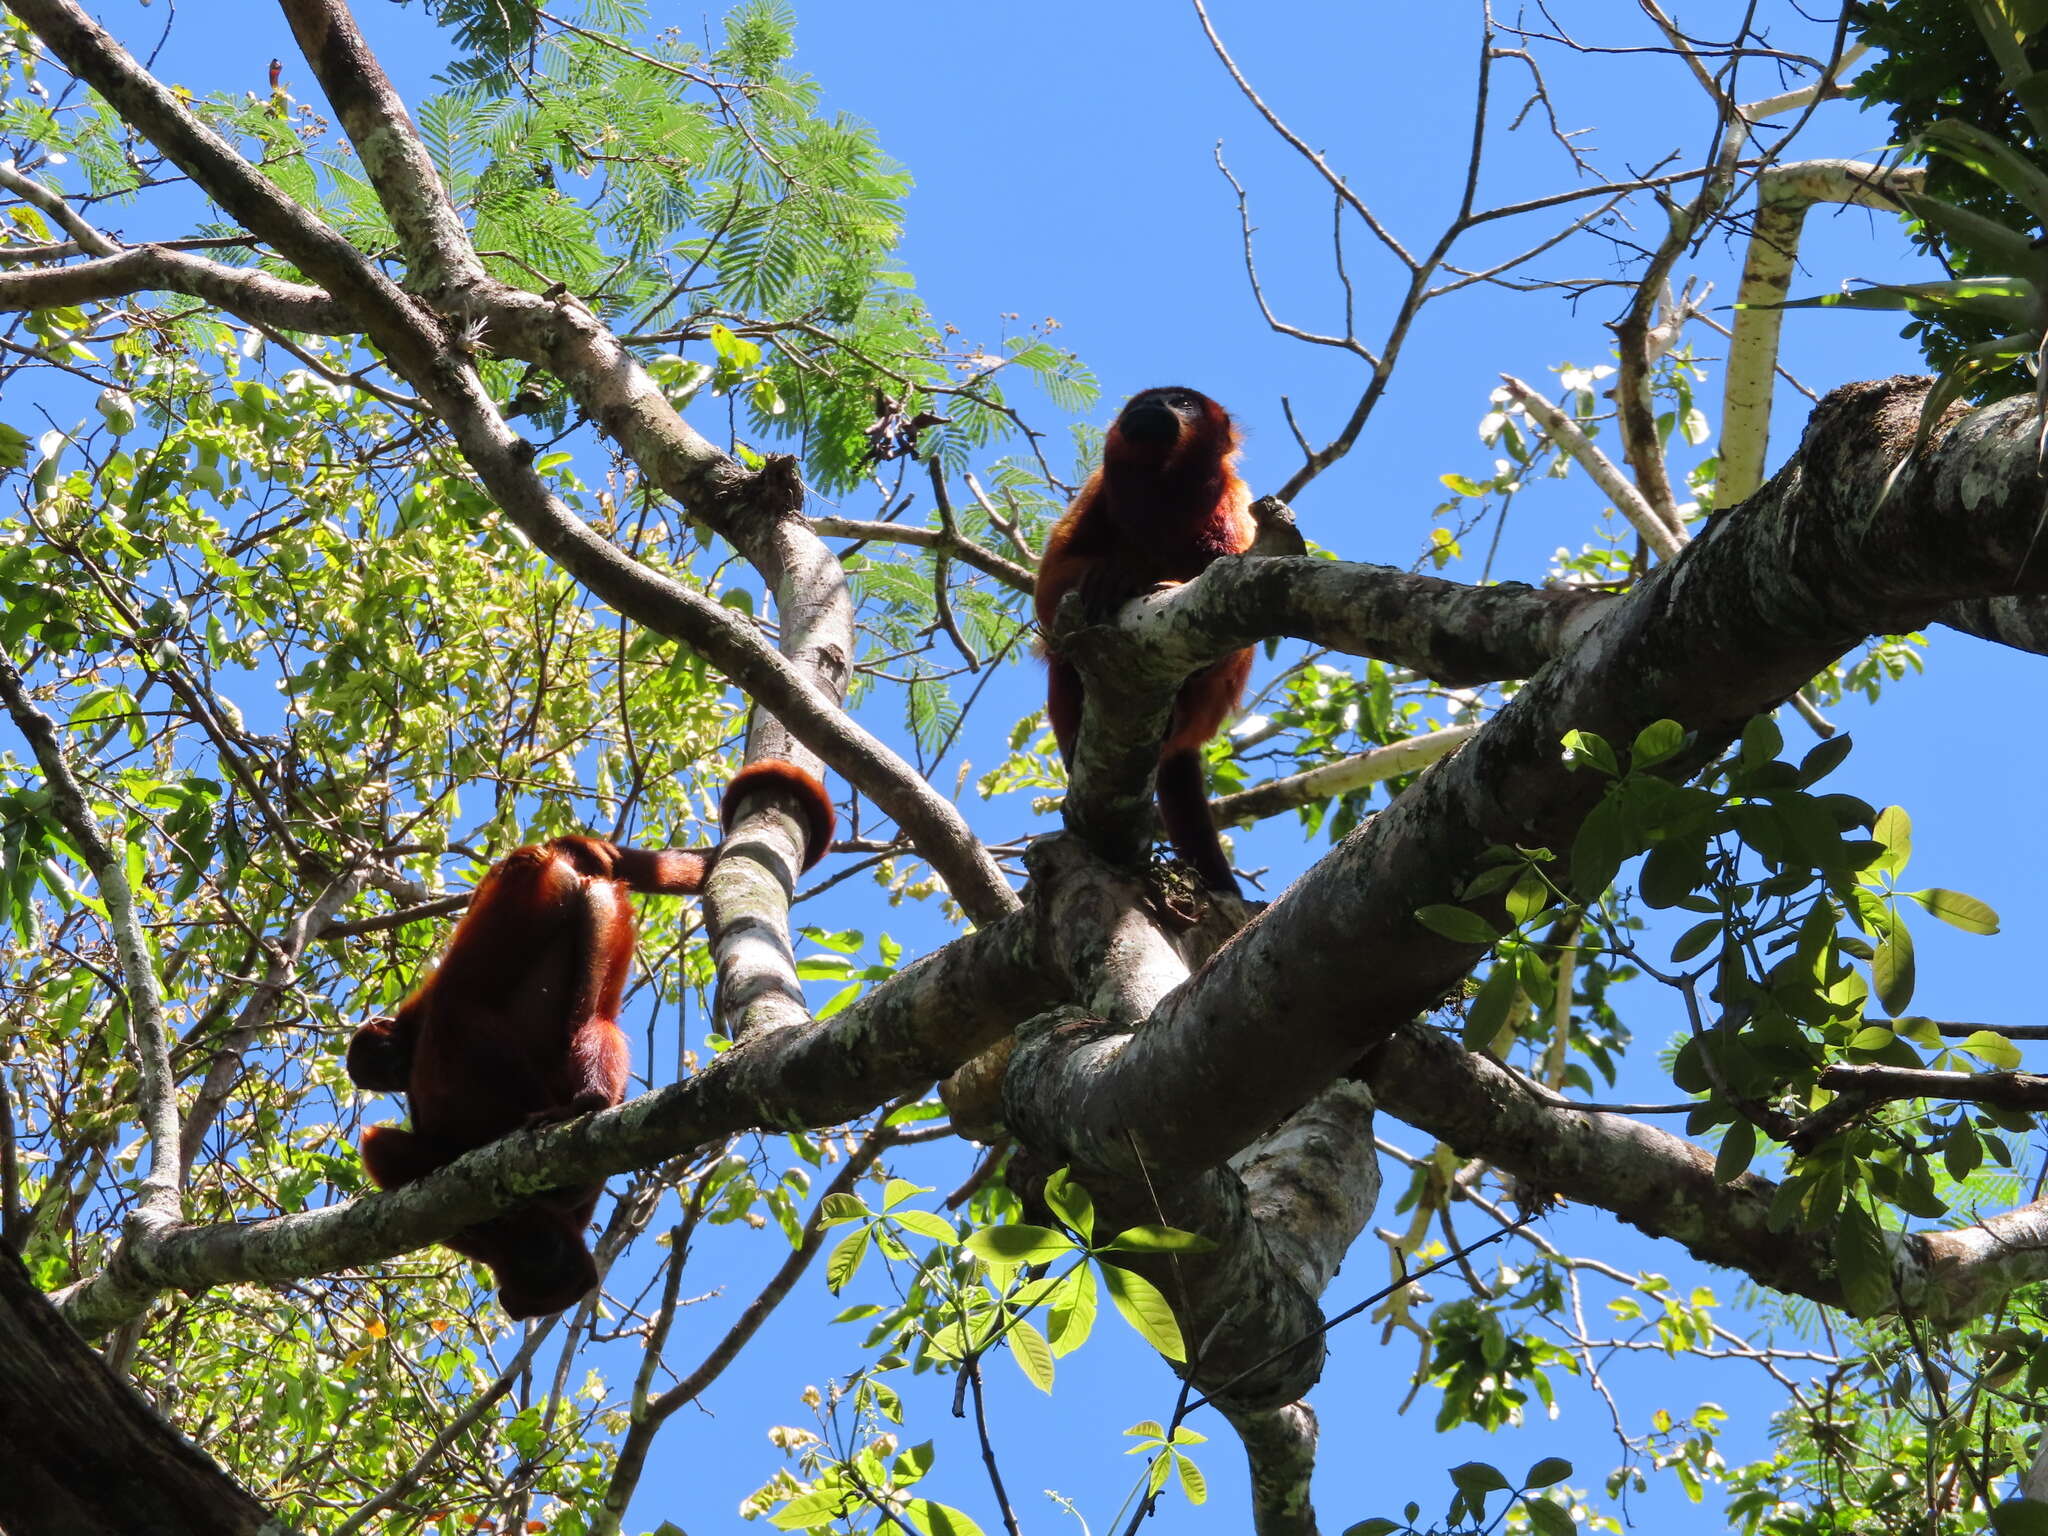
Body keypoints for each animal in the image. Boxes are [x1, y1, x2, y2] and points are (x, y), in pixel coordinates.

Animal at [346, 765, 831, 1318]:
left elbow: (391, 1140)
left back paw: (576, 1101)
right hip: (596, 905)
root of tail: (548, 855)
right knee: (590, 1016)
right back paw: (591, 1096)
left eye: (543, 1260)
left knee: (464, 1016)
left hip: (531, 898)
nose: (518, 1296)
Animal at [1032, 385, 1253, 901]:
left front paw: (1131, 574)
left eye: (1185, 403)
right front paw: (1113, 572)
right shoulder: (1096, 491)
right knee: (1062, 660)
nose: (1155, 405)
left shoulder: (1234, 500)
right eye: (1149, 400)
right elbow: (1049, 588)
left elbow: (1226, 576)